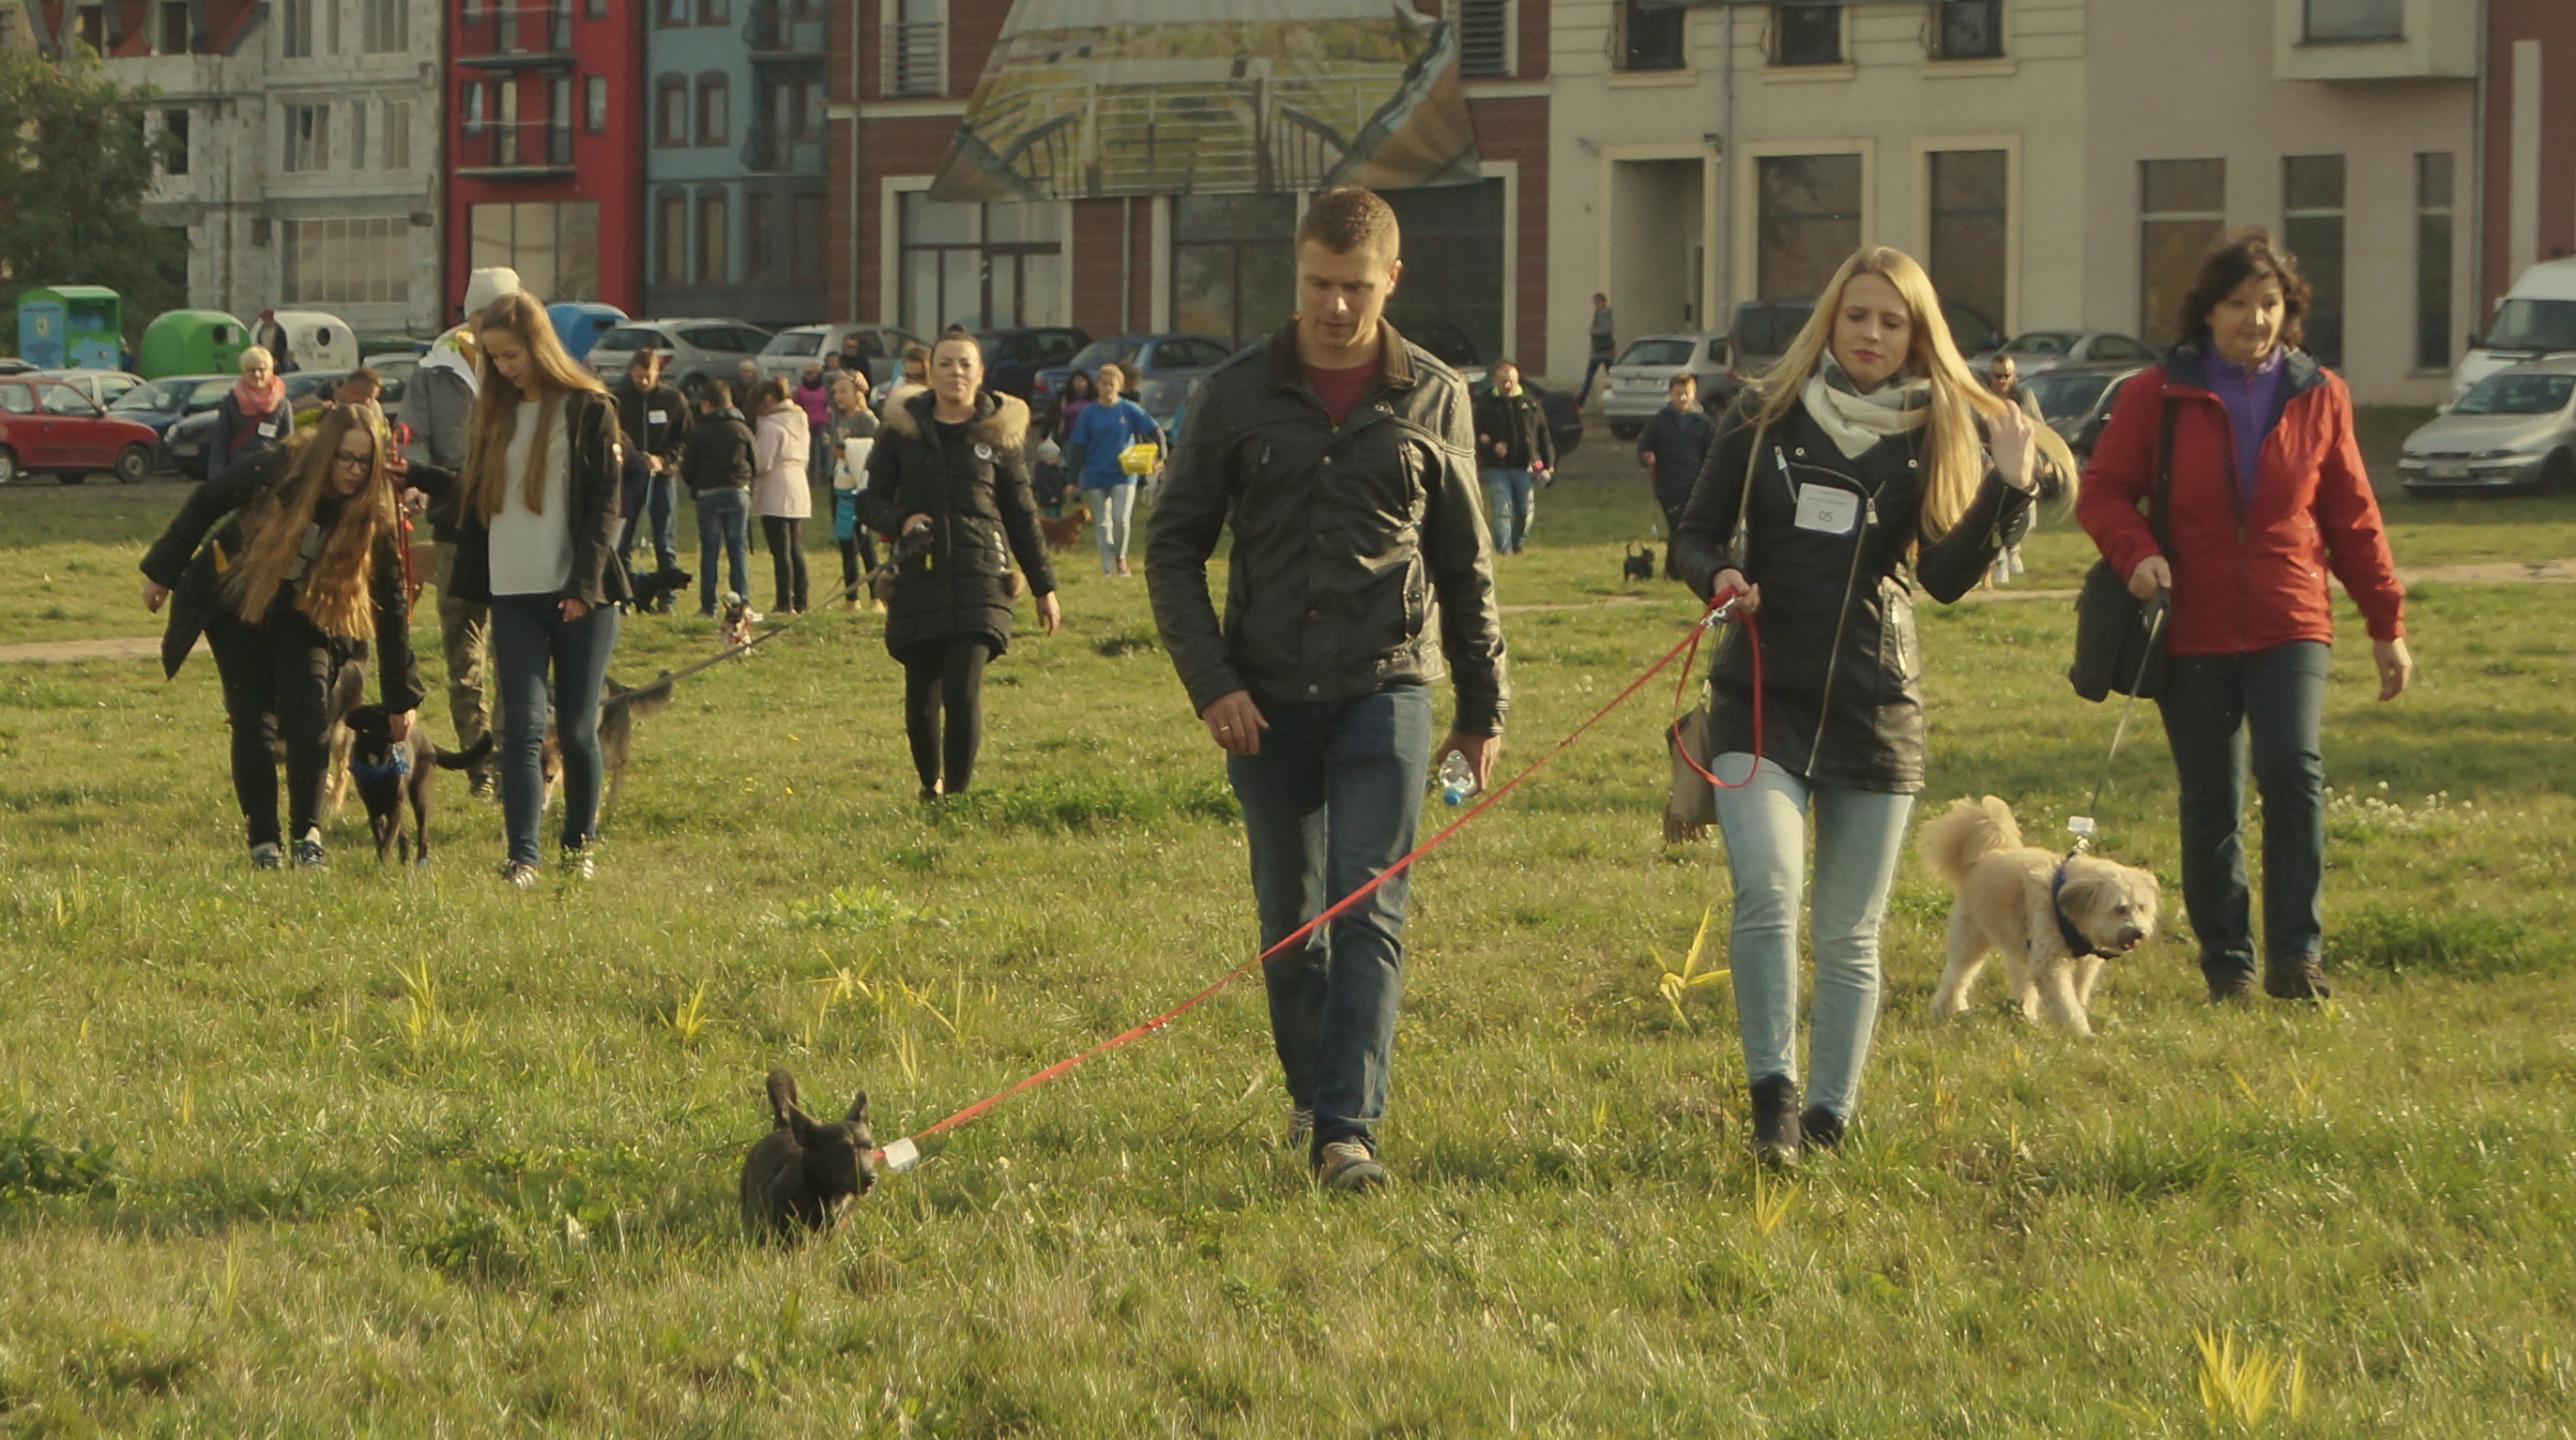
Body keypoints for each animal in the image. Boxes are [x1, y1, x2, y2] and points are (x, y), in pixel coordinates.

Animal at [342, 704, 493, 865]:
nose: (405, 721)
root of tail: (428, 741)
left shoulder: (395, 806)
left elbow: (388, 839)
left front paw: (383, 864)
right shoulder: (374, 809)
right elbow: (381, 839)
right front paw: (381, 862)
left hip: (421, 794)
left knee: (422, 833)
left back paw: (420, 861)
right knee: (404, 835)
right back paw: (403, 860)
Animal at [1916, 796, 2161, 1037]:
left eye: (2142, 907)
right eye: (2119, 908)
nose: (2139, 933)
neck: (2065, 903)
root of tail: (1988, 855)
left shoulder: (2083, 964)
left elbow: (2078, 995)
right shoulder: (2049, 963)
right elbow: (2066, 1003)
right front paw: (2080, 1033)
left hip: (2020, 950)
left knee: (2018, 984)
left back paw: (2023, 1016)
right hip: (1971, 941)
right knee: (1957, 977)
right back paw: (1946, 1010)